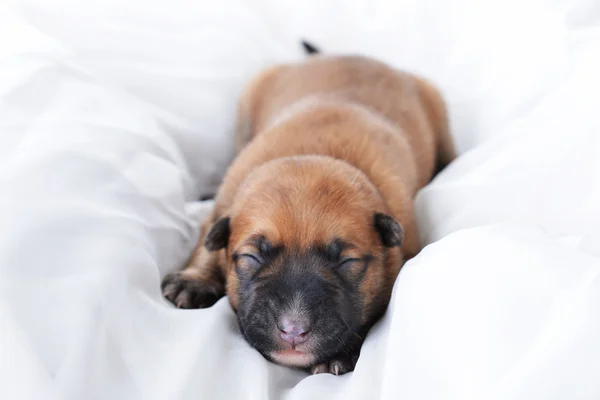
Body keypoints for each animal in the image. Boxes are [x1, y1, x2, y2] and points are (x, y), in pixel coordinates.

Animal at [162, 43, 458, 376]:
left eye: (348, 262)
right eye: (251, 257)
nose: (293, 331)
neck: (314, 153)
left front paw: (341, 354)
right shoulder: (224, 203)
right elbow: (207, 241)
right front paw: (193, 281)